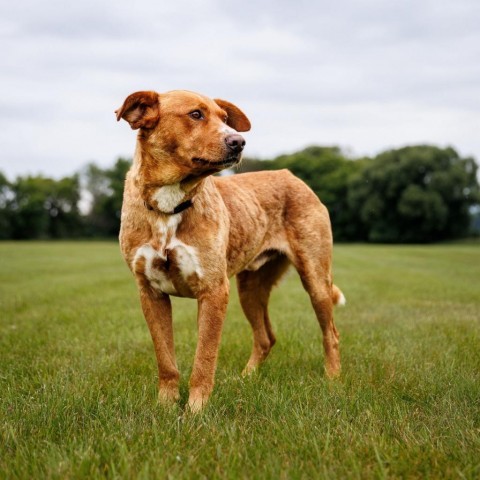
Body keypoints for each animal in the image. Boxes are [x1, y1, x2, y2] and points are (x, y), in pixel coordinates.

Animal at [115, 90, 344, 412]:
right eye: (196, 114)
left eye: (224, 118)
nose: (239, 141)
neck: (170, 204)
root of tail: (292, 176)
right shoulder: (150, 292)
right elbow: (166, 360)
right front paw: (165, 406)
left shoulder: (214, 290)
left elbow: (204, 358)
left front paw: (195, 411)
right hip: (250, 287)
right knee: (266, 338)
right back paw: (245, 378)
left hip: (316, 279)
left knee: (330, 334)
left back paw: (333, 380)